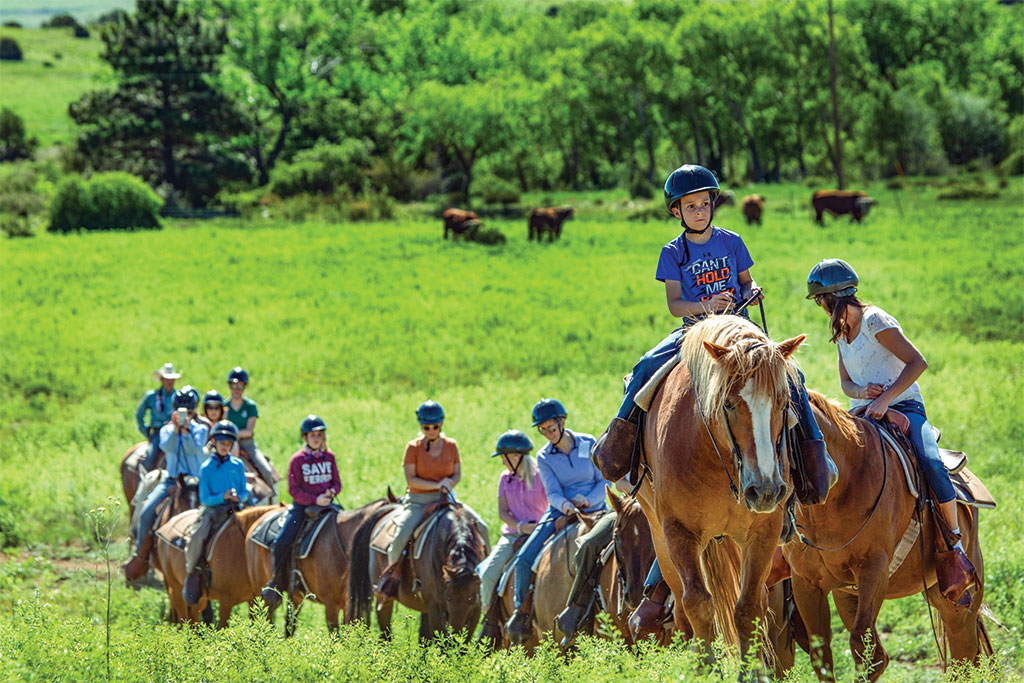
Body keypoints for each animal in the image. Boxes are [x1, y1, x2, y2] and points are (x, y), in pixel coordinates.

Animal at [245, 499, 393, 638]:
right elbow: (336, 636)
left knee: (289, 624)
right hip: (259, 592)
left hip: (296, 597)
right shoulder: (331, 605)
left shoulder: (348, 604)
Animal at [352, 497, 491, 643]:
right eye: (448, 597)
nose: (455, 635)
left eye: (472, 599)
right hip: (383, 599)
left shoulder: (476, 610)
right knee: (385, 632)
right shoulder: (436, 606)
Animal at [598, 317, 806, 667]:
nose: (764, 488)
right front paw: (707, 667)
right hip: (664, 544)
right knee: (684, 611)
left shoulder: (763, 531)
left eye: (783, 402)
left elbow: (748, 608)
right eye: (728, 403)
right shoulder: (679, 532)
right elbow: (698, 604)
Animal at [782, 393, 991, 679]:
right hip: (853, 594)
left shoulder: (874, 569)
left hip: (958, 604)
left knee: (966, 658)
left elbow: (865, 647)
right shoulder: (806, 581)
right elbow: (821, 654)